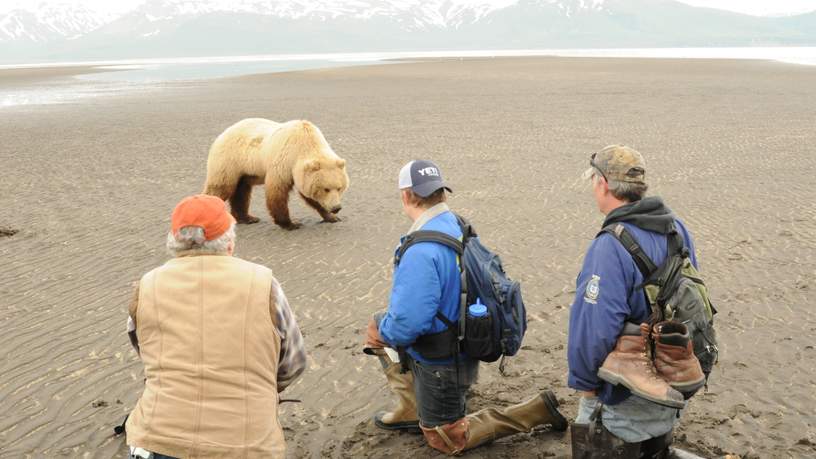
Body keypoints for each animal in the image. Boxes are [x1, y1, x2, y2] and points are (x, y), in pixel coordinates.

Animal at [202, 118, 349, 230]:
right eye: (326, 189)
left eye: (339, 188)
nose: (336, 207)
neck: (306, 143)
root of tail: (221, 135)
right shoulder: (284, 162)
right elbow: (277, 192)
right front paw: (291, 223)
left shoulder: (299, 172)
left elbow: (310, 196)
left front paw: (332, 217)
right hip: (229, 161)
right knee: (220, 188)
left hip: (244, 171)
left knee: (241, 192)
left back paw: (248, 218)